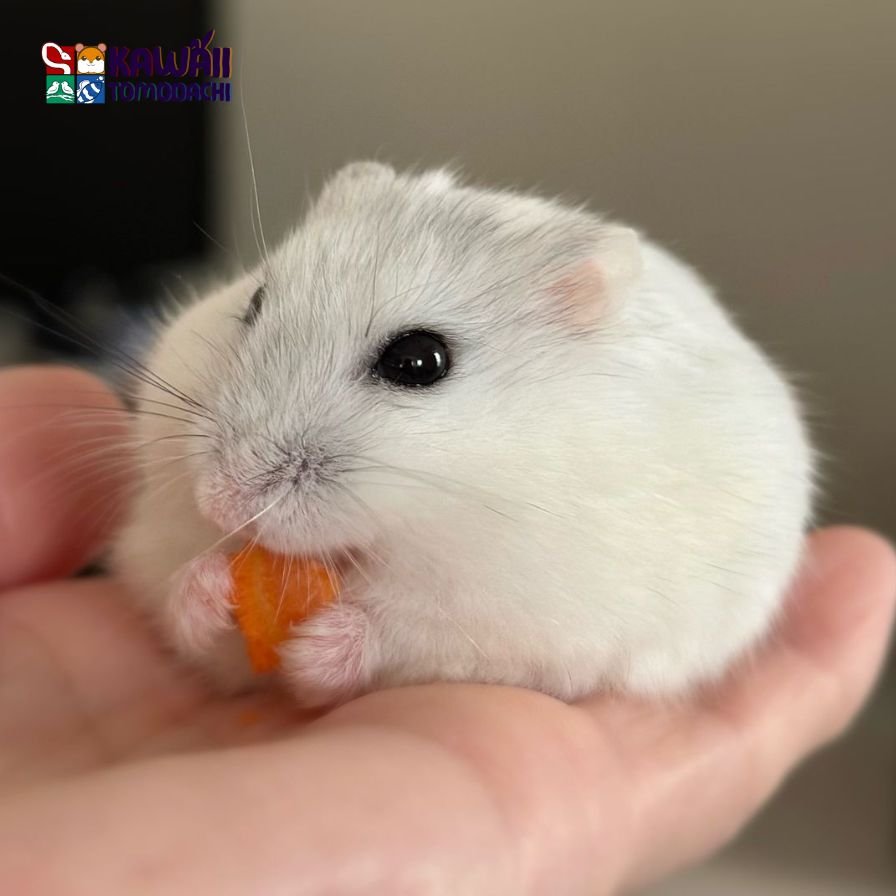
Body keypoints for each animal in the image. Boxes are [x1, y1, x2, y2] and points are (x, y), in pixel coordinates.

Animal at [111, 162, 813, 708]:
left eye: (419, 362)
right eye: (253, 305)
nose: (220, 500)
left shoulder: (515, 611)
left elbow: (407, 626)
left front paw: (317, 649)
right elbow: (176, 594)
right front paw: (208, 587)